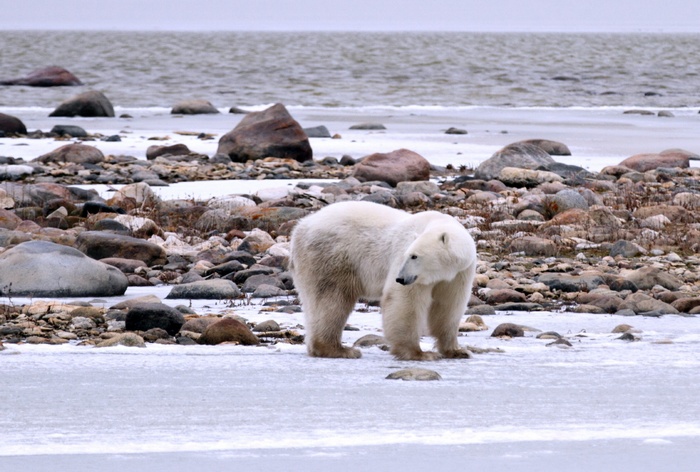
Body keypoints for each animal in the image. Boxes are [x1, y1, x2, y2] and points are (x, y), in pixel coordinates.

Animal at [288, 200, 476, 362]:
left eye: (414, 256)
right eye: (408, 254)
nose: (400, 278)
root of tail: (299, 228)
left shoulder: (460, 273)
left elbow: (448, 306)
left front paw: (457, 351)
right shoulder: (407, 262)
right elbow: (404, 302)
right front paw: (419, 353)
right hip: (331, 255)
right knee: (332, 299)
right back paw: (339, 349)